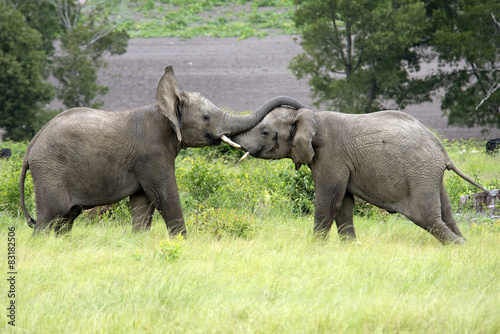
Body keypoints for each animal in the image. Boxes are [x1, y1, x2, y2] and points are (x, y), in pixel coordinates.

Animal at [18, 66, 308, 236]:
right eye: (205, 117)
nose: (298, 108)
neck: (163, 110)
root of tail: (31, 147)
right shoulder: (152, 154)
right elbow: (165, 194)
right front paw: (182, 242)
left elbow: (142, 204)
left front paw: (138, 240)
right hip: (50, 170)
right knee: (50, 217)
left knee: (65, 219)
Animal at [232, 105, 490, 244]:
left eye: (265, 132)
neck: (311, 116)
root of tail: (442, 150)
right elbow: (344, 204)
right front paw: (351, 247)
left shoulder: (331, 156)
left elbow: (328, 201)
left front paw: (313, 249)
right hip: (432, 177)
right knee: (448, 215)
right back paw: (466, 245)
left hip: (420, 173)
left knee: (428, 219)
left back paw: (460, 247)